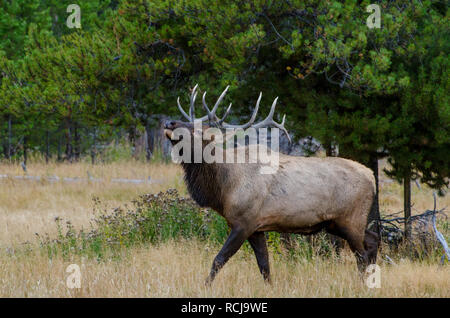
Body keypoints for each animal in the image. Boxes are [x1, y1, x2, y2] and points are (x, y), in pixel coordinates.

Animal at [163, 84, 378, 284]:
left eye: (198, 130)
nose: (169, 122)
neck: (223, 189)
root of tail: (372, 177)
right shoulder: (257, 227)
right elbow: (264, 266)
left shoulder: (244, 221)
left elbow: (219, 259)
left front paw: (205, 286)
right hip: (338, 223)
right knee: (373, 239)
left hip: (351, 219)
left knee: (361, 255)